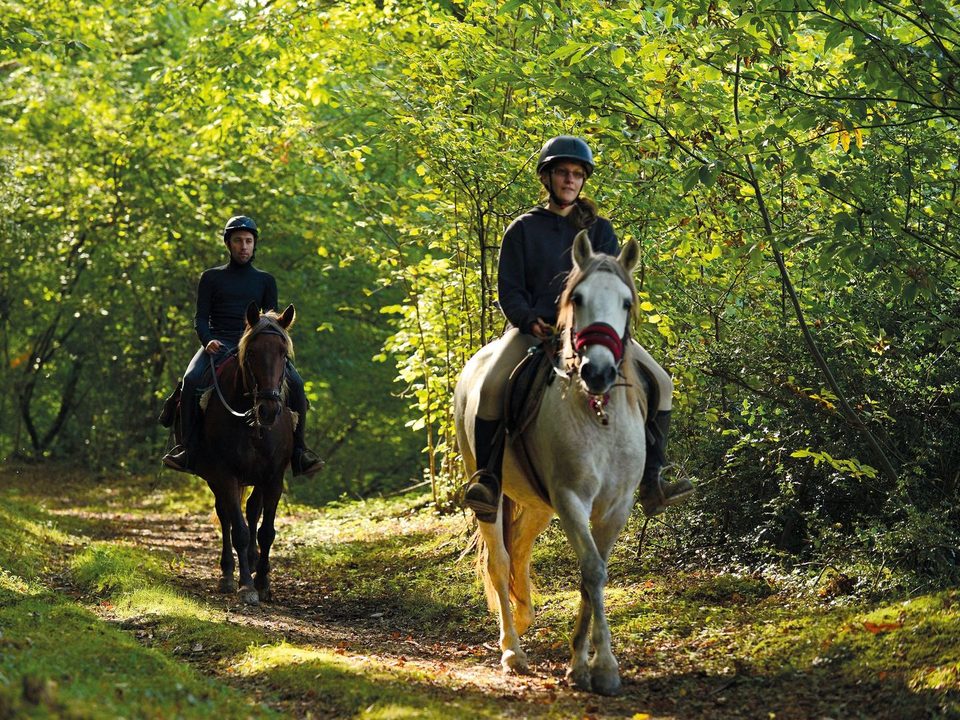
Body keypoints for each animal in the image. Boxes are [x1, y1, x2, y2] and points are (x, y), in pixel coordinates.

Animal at [184, 301, 297, 606]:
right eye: (253, 353)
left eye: (284, 354)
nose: (269, 410)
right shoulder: (225, 475)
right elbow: (240, 532)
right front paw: (246, 586)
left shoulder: (274, 477)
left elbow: (266, 531)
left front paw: (264, 582)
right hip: (217, 479)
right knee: (226, 517)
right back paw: (227, 574)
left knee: (253, 510)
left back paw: (254, 562)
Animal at [454, 231, 646, 695]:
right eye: (577, 298)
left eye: (626, 302)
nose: (597, 372)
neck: (598, 414)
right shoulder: (571, 499)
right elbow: (591, 570)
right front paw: (597, 667)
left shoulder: (616, 507)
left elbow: (592, 573)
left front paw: (586, 662)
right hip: (491, 495)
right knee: (500, 561)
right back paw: (512, 650)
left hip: (538, 504)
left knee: (520, 553)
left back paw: (524, 619)